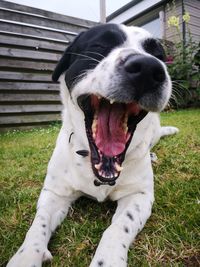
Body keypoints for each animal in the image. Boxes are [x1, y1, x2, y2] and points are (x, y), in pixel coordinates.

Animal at [6, 24, 178, 266]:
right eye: (99, 45)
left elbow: (117, 228)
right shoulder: (54, 193)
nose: (148, 68)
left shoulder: (139, 196)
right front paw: (27, 256)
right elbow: (38, 225)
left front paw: (108, 259)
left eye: (159, 55)